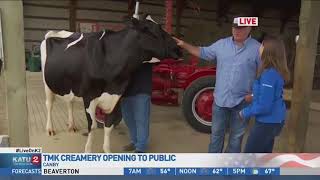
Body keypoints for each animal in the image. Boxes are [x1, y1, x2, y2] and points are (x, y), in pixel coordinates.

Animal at [40, 15, 181, 153]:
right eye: (149, 30)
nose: (178, 48)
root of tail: (57, 32)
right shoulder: (89, 97)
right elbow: (92, 126)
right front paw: (88, 151)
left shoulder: (116, 97)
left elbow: (108, 125)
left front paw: (107, 150)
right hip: (47, 84)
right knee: (49, 105)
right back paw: (50, 129)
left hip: (69, 84)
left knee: (70, 102)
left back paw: (72, 126)